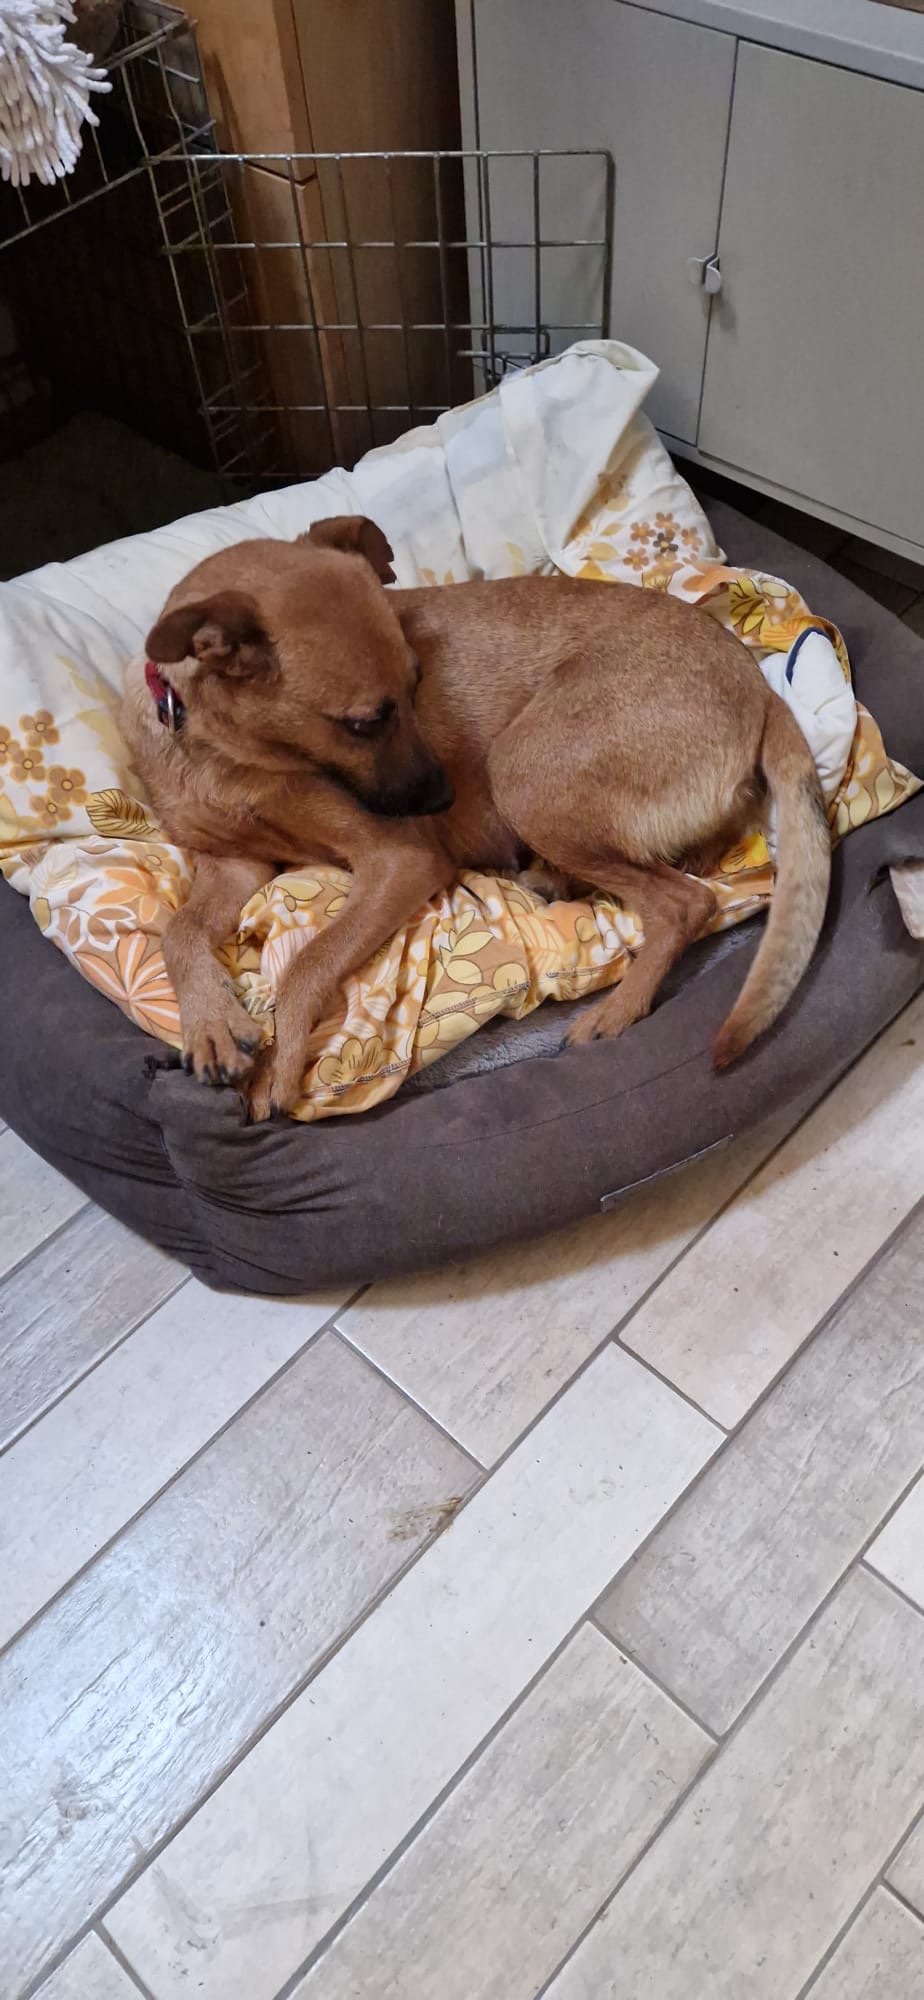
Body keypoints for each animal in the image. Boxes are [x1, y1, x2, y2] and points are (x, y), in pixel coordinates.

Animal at [121, 515, 830, 1121]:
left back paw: (617, 1009)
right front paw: (213, 1025)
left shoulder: (399, 860)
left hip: (521, 772)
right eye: (365, 722)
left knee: (685, 903)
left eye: (417, 684)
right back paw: (561, 880)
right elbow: (178, 932)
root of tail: (758, 685)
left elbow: (306, 964)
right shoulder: (237, 864)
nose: (441, 800)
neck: (223, 752)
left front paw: (277, 1069)